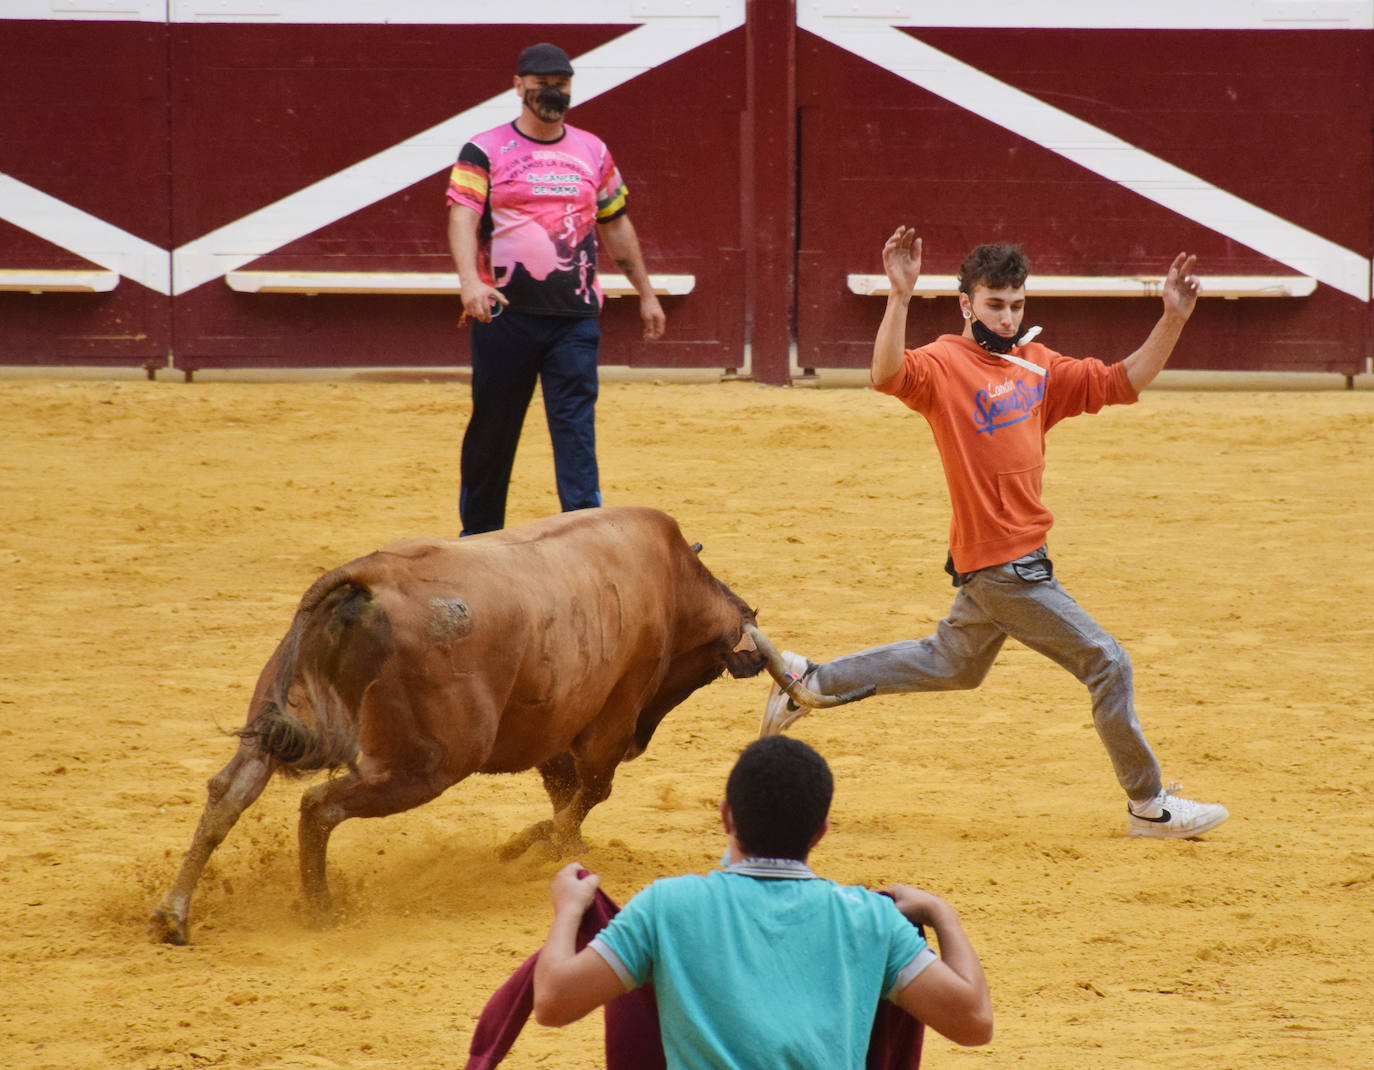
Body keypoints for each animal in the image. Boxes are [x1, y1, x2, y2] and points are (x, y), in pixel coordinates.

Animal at [151, 510, 780, 945]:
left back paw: (173, 915)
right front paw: (531, 847)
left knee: (229, 791)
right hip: (429, 763)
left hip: (280, 715)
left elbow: (565, 791)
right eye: (709, 664)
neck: (673, 583)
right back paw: (321, 911)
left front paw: (558, 848)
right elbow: (591, 789)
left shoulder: (553, 728)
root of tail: (365, 578)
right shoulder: (612, 716)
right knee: (319, 806)